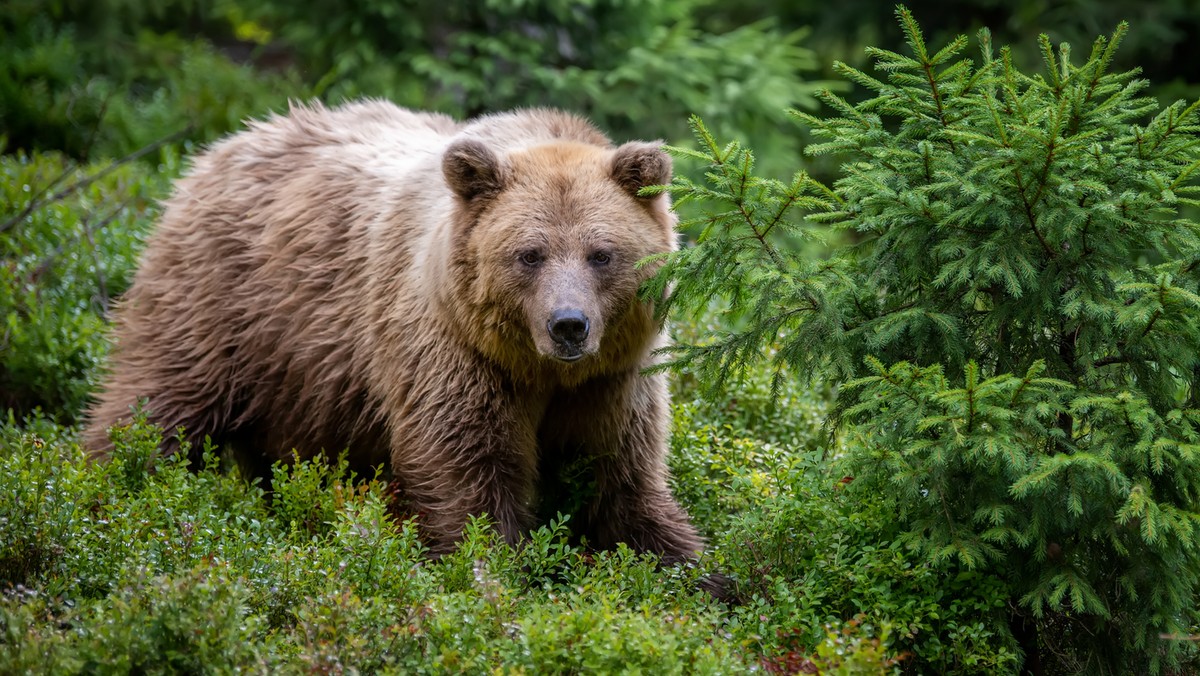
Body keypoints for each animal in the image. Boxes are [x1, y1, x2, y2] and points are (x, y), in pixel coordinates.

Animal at [87, 99, 700, 566]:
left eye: (602, 253)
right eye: (530, 254)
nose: (568, 325)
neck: (537, 370)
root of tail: (219, 148)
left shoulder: (615, 378)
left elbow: (621, 478)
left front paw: (690, 568)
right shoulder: (452, 352)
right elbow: (465, 470)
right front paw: (491, 568)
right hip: (223, 307)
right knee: (156, 403)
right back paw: (107, 487)